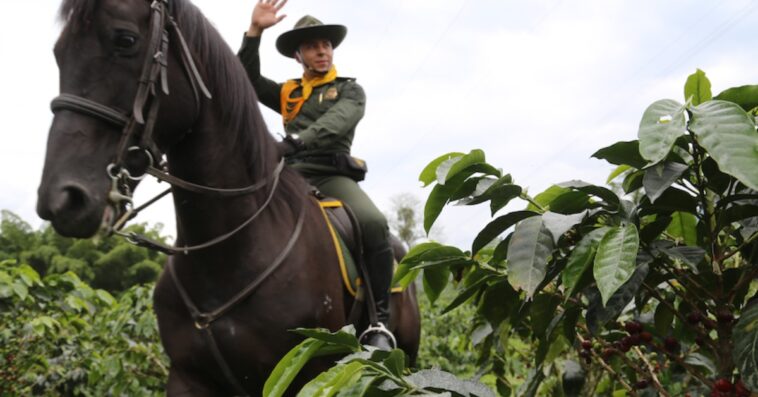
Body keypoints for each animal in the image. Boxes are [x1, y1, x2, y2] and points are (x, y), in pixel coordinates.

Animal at [37, 0, 422, 392]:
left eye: (125, 40)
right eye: (58, 53)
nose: (62, 199)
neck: (229, 255)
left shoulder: (305, 372)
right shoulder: (187, 376)